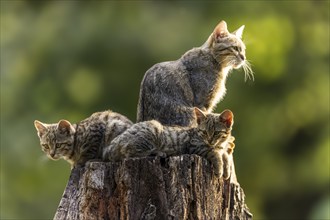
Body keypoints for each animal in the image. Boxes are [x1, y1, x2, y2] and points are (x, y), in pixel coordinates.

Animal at [103, 108, 235, 179]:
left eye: (216, 132)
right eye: (204, 132)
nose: (209, 140)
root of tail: (111, 145)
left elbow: (225, 156)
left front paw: (227, 169)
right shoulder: (195, 146)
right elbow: (214, 153)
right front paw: (219, 169)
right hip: (152, 128)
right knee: (129, 151)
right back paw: (159, 152)